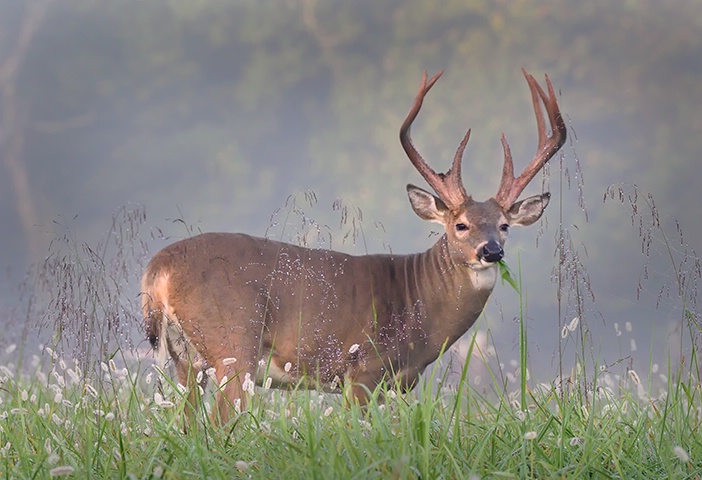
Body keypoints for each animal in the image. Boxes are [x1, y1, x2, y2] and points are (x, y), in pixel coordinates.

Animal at [142, 68, 568, 424]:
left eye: (504, 226)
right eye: (460, 225)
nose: (491, 251)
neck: (418, 302)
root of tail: (159, 269)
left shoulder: (398, 384)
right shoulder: (363, 367)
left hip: (187, 359)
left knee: (187, 426)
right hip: (234, 343)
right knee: (219, 423)